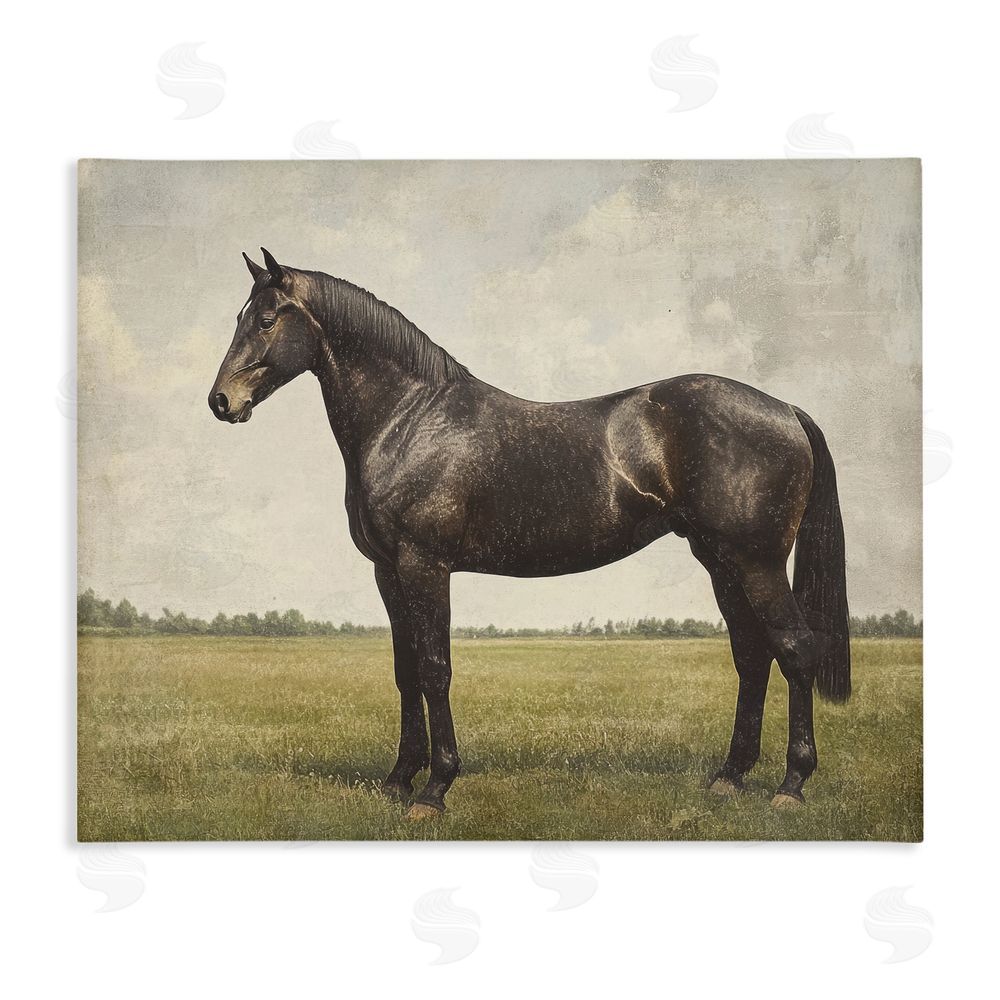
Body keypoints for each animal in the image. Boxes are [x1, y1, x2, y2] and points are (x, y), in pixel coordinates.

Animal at [209, 248, 850, 820]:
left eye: (266, 318)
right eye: (239, 316)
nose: (221, 401)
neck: (410, 418)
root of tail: (785, 410)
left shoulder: (425, 564)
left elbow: (435, 667)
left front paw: (434, 790)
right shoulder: (387, 570)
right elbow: (405, 670)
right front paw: (397, 779)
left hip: (756, 562)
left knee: (795, 650)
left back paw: (791, 786)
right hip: (720, 562)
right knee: (752, 656)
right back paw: (729, 778)